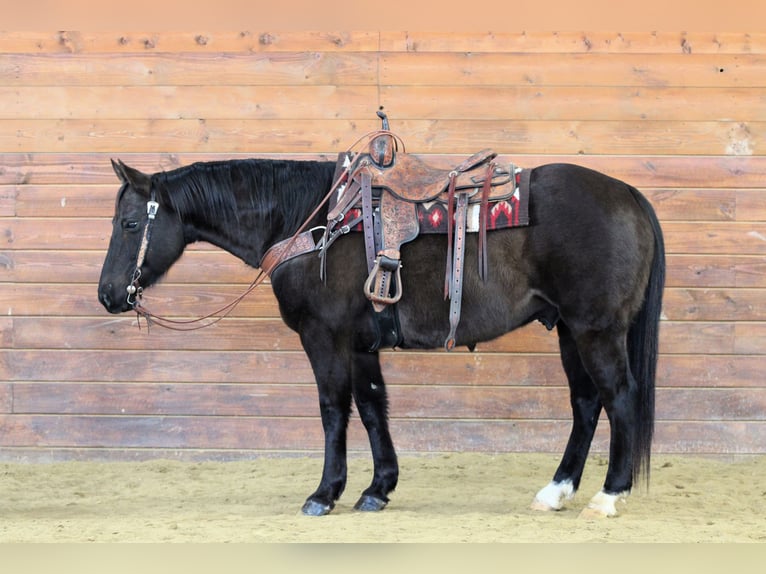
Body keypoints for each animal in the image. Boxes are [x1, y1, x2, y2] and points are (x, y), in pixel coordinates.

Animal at [98, 148, 665, 518]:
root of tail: (628, 193)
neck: (314, 221)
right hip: (569, 329)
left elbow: (333, 409)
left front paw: (324, 493)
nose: (108, 294)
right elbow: (372, 406)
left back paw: (609, 496)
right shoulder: (360, 344)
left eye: (130, 224)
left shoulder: (324, 337)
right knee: (586, 404)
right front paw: (378, 488)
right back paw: (556, 491)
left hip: (595, 330)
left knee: (618, 396)